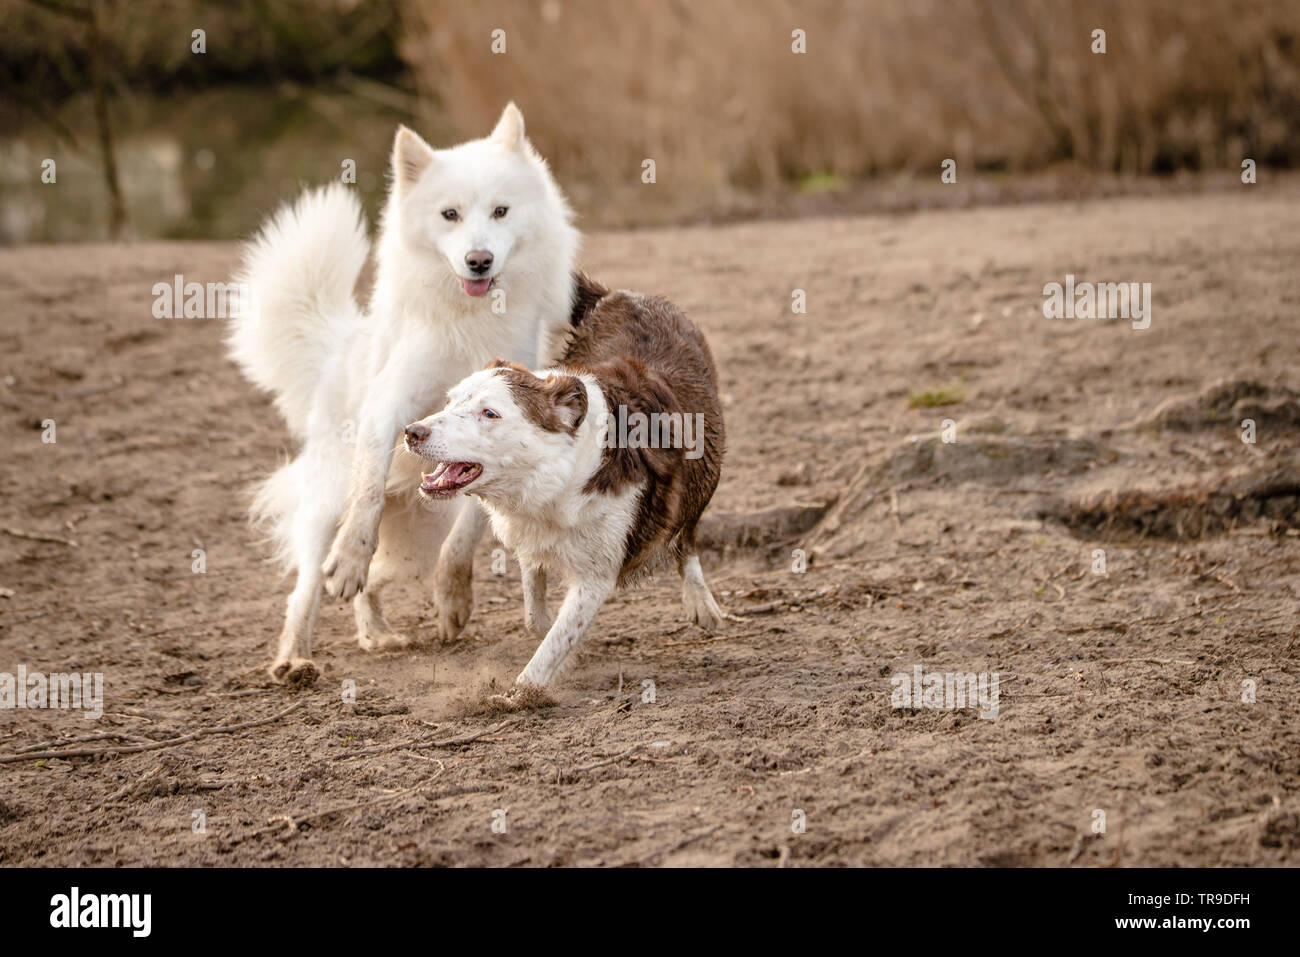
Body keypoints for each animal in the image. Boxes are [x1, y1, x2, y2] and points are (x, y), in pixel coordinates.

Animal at [403, 274, 722, 686]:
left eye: (489, 413)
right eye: (449, 401)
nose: (412, 432)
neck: (555, 475)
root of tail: (623, 294)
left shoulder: (597, 576)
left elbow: (549, 650)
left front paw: (520, 692)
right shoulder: (529, 530)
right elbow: (535, 609)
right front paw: (562, 646)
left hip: (707, 468)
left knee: (688, 534)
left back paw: (701, 601)